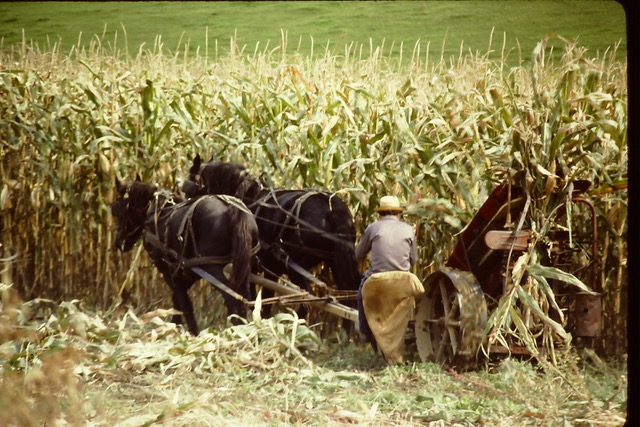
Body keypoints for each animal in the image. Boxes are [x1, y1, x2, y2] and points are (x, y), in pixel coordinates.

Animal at [111, 175, 260, 335]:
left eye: (119, 207)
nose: (119, 242)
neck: (158, 213)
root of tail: (233, 208)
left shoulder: (167, 268)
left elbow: (183, 302)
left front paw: (191, 332)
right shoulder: (189, 270)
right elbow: (178, 299)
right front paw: (175, 326)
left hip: (211, 267)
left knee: (231, 297)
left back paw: (236, 327)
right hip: (246, 263)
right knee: (245, 296)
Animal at [181, 155, 362, 304]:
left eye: (189, 184)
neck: (249, 195)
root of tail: (332, 209)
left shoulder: (257, 266)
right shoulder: (270, 268)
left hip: (296, 267)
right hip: (335, 263)